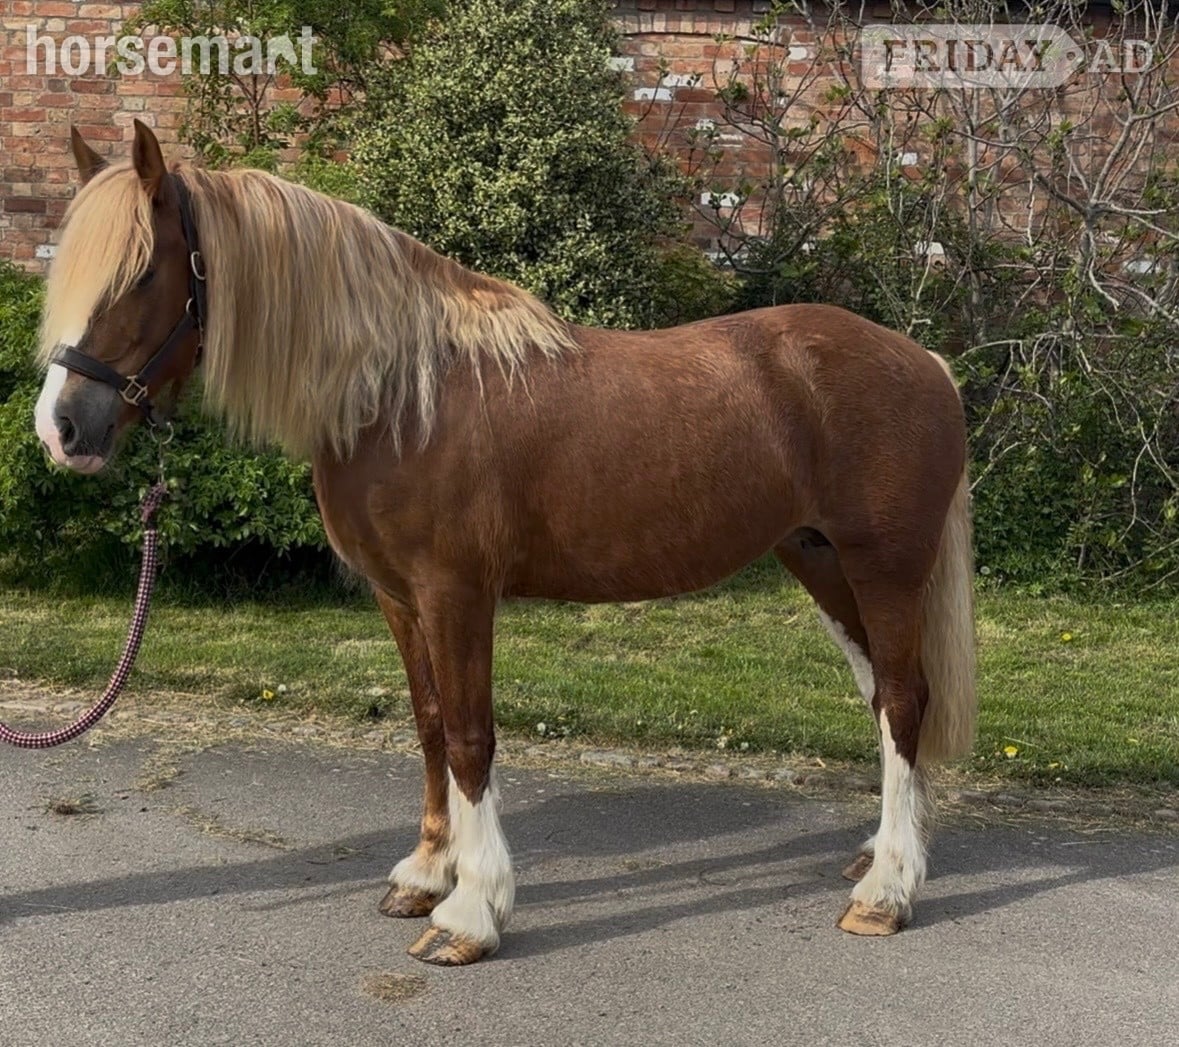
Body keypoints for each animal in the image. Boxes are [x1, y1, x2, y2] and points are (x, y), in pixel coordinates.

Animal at [34, 121, 976, 966]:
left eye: (140, 272)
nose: (62, 427)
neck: (400, 393)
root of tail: (923, 361)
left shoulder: (456, 592)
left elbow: (469, 736)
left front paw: (470, 912)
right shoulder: (398, 597)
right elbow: (427, 724)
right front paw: (424, 873)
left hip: (882, 567)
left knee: (902, 699)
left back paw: (886, 892)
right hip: (817, 560)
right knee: (880, 692)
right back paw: (877, 853)